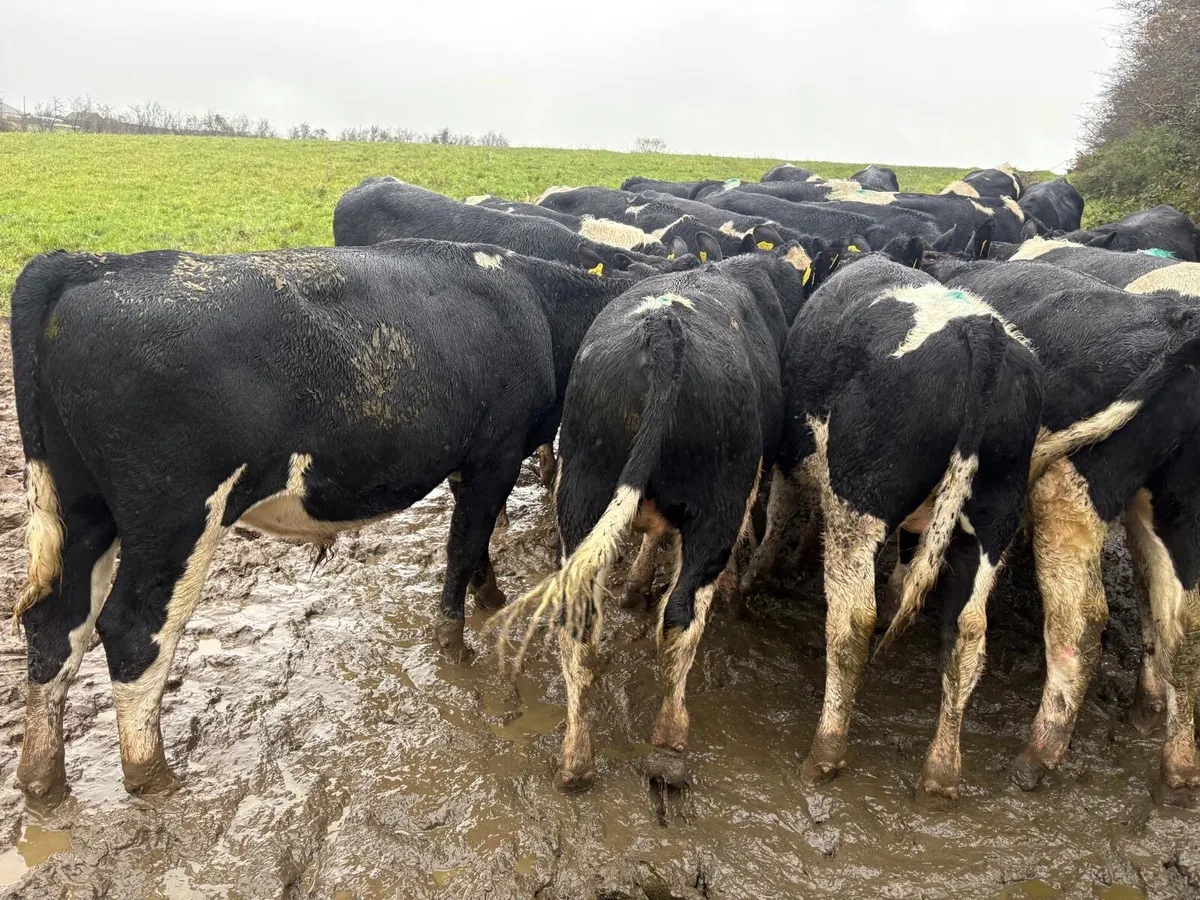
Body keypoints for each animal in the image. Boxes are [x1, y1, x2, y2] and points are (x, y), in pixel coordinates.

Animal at [9, 239, 694, 801]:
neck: (532, 302)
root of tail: (94, 265)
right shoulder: (493, 456)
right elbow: (463, 544)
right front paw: (455, 639)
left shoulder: (473, 464)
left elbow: (476, 544)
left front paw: (490, 596)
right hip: (175, 519)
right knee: (132, 631)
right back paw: (151, 775)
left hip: (82, 509)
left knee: (57, 625)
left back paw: (42, 777)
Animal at [489, 242, 823, 792]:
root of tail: (664, 331)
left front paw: (635, 585)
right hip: (716, 511)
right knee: (682, 619)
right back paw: (669, 743)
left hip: (579, 499)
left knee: (578, 625)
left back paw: (576, 759)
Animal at [746, 246, 1043, 803]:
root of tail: (980, 337)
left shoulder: (790, 455)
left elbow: (778, 514)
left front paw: (757, 574)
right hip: (994, 515)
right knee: (968, 631)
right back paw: (942, 770)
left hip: (860, 503)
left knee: (851, 623)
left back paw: (826, 750)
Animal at [921, 254, 1200, 806]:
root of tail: (1176, 323)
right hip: (1178, 505)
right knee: (1188, 626)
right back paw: (1177, 763)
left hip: (1071, 489)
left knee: (1082, 621)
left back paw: (1038, 754)